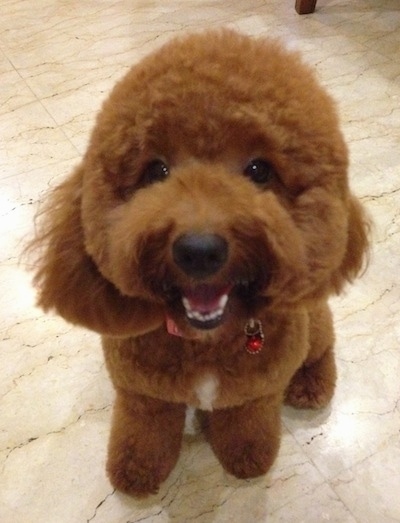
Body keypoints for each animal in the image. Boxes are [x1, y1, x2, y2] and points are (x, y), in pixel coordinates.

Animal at [30, 30, 368, 498]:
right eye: (156, 170)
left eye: (259, 170)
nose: (200, 251)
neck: (206, 342)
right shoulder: (142, 394)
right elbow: (143, 435)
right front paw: (135, 472)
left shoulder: (254, 394)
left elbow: (247, 429)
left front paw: (248, 460)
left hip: (312, 324)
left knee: (323, 345)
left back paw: (310, 384)